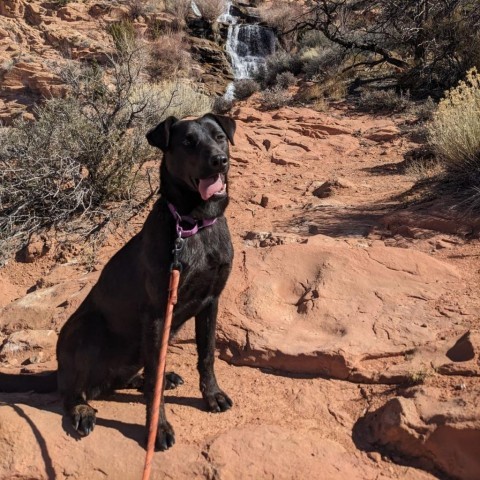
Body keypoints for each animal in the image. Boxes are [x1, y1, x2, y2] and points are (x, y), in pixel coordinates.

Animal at [0, 114, 235, 452]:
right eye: (188, 142)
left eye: (219, 137)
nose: (219, 160)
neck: (194, 226)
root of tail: (58, 371)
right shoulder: (157, 314)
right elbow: (155, 388)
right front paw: (157, 429)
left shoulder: (210, 301)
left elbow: (207, 354)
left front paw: (212, 395)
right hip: (88, 330)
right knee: (72, 392)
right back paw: (82, 409)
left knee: (125, 377)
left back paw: (148, 379)